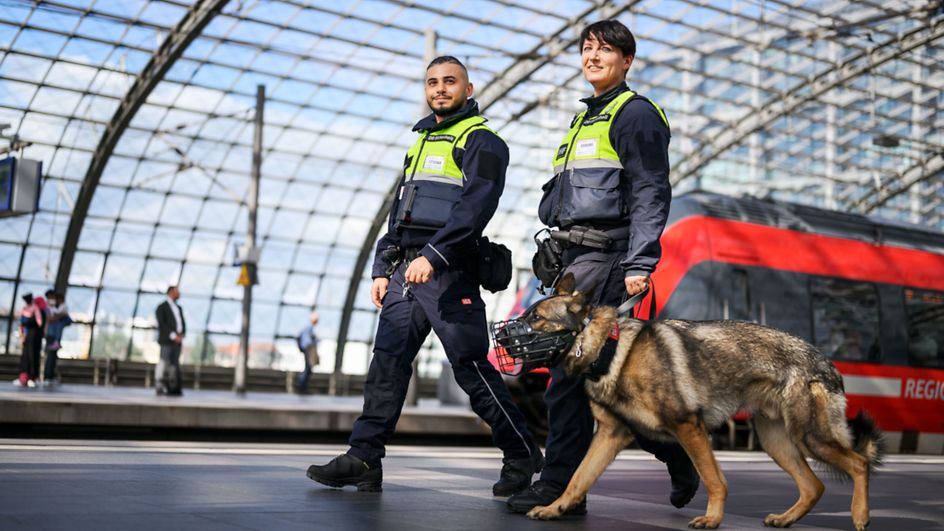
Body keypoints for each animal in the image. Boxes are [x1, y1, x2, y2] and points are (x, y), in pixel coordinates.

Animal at [520, 274, 880, 531]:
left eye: (536, 318)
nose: (507, 343)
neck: (610, 348)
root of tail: (826, 362)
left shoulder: (688, 427)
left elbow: (713, 479)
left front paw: (712, 519)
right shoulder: (611, 435)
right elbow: (578, 479)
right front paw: (554, 508)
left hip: (810, 437)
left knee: (859, 463)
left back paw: (860, 517)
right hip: (777, 442)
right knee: (813, 486)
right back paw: (786, 519)